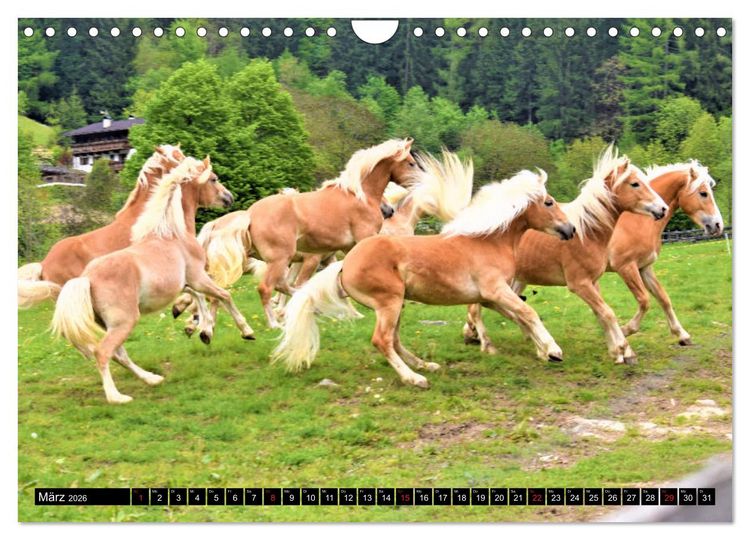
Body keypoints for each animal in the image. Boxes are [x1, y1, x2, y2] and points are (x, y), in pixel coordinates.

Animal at [50, 156, 249, 404]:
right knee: (103, 352)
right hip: (124, 322)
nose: (228, 197)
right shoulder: (197, 276)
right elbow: (223, 295)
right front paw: (244, 331)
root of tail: (86, 278)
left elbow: (199, 298)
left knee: (119, 354)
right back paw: (116, 397)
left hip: (109, 324)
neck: (172, 234)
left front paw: (199, 326)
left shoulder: (185, 282)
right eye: (213, 179)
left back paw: (152, 379)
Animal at [271, 167, 576, 389]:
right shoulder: (496, 291)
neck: (489, 241)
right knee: (382, 340)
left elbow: (519, 316)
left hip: (396, 305)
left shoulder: (490, 298)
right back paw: (415, 378)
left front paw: (542, 351)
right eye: (549, 202)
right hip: (389, 302)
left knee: (393, 340)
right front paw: (554, 350)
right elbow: (528, 312)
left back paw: (424, 365)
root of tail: (346, 264)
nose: (570, 229)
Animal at [462, 146, 669, 365]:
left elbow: (601, 314)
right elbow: (608, 313)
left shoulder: (593, 282)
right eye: (635, 183)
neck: (587, 233)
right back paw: (489, 345)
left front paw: (620, 351)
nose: (663, 208)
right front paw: (621, 349)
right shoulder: (580, 284)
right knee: (477, 309)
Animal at [608, 161, 724, 344]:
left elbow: (663, 298)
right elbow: (644, 301)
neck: (638, 221)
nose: (718, 225)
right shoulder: (625, 267)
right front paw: (625, 330)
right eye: (703, 193)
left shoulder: (644, 267)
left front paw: (682, 334)